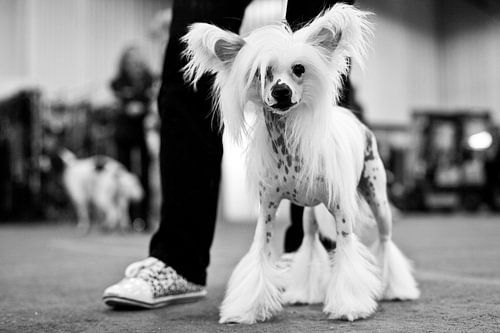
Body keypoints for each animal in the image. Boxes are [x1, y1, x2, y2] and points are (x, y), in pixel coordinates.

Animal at [182, 2, 420, 322]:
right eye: (261, 73)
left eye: (299, 69)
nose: (281, 92)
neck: (287, 145)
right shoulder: (267, 209)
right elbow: (260, 256)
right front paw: (247, 309)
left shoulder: (341, 211)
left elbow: (347, 255)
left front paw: (349, 305)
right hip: (309, 212)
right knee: (308, 241)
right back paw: (305, 292)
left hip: (378, 198)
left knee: (384, 240)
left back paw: (395, 288)